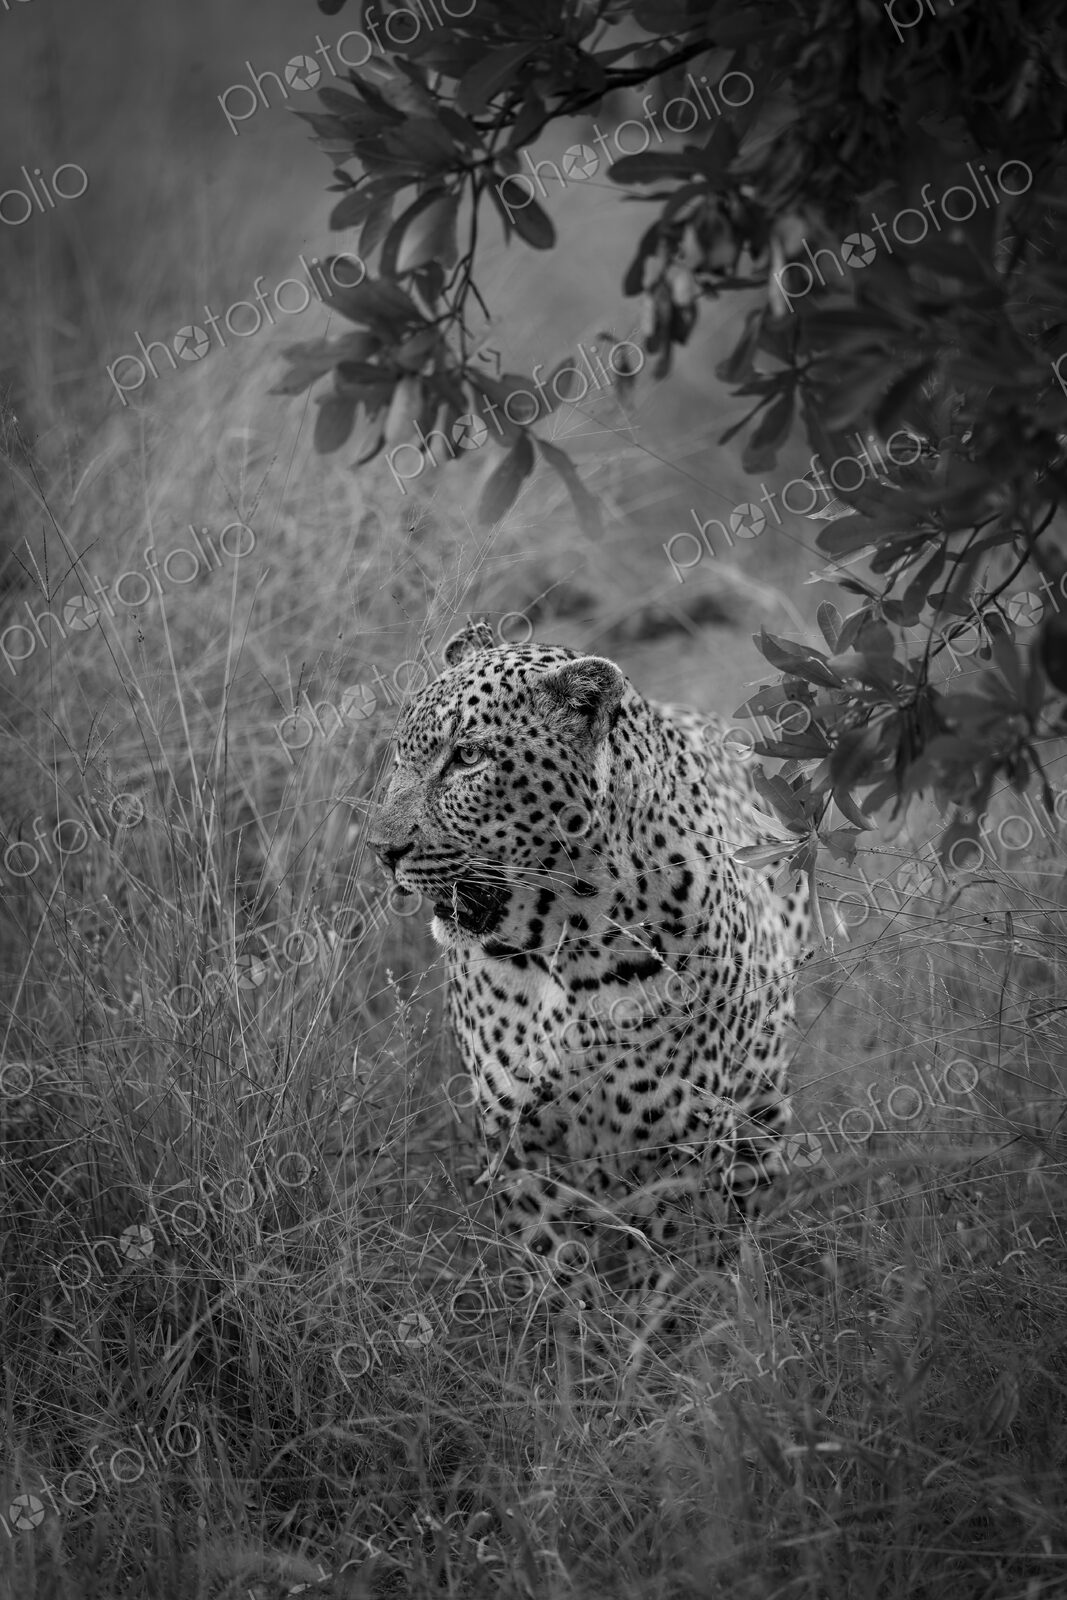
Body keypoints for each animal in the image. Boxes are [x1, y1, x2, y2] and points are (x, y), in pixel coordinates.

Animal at [369, 621, 810, 1317]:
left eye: (467, 758)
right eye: (400, 756)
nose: (382, 850)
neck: (563, 940)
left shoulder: (680, 1144)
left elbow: (670, 1272)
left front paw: (660, 1335)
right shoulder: (517, 1139)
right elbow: (557, 1270)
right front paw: (580, 1337)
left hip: (763, 1104)